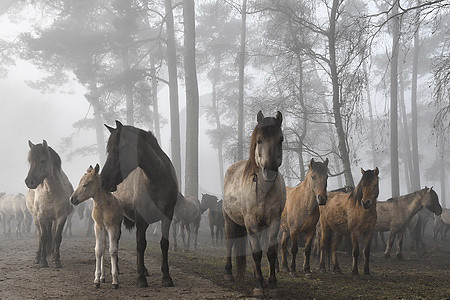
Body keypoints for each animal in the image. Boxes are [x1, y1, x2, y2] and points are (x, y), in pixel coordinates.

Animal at [24, 139, 73, 268]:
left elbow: (57, 237)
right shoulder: (41, 217)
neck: (51, 192)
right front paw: (43, 262)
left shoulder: (61, 217)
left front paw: (56, 261)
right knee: (39, 236)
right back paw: (38, 258)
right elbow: (43, 238)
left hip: (52, 220)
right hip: (36, 218)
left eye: (43, 160)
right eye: (30, 161)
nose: (29, 182)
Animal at [100, 121, 178, 288]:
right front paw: (141, 278)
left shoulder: (167, 217)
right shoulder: (141, 219)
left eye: (116, 150)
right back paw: (118, 270)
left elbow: (164, 244)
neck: (156, 180)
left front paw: (166, 277)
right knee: (115, 240)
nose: (102, 181)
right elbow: (141, 244)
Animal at [221, 109, 284, 296]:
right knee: (230, 243)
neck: (264, 190)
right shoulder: (251, 223)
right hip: (229, 221)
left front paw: (272, 284)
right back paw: (229, 273)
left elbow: (271, 252)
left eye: (281, 139)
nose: (269, 171)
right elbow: (256, 253)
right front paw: (258, 287)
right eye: (259, 140)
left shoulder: (274, 222)